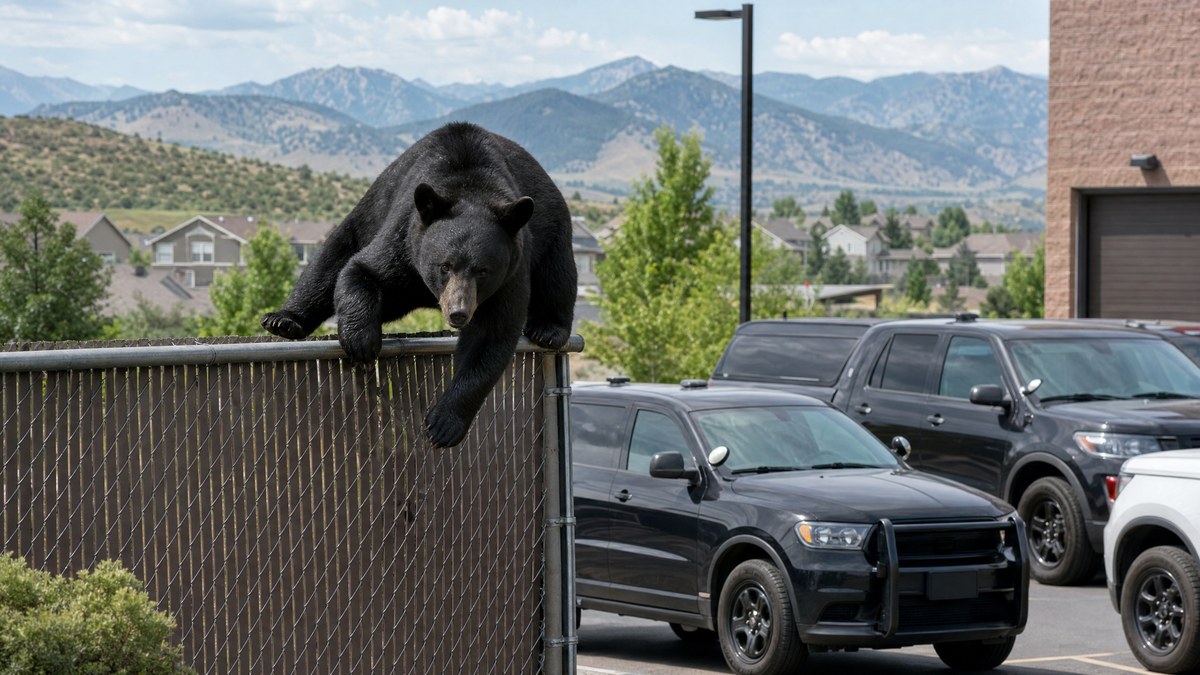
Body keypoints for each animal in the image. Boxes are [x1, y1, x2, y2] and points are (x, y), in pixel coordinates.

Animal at [261, 122, 577, 448]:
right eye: (445, 266)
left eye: (482, 270)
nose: (458, 312)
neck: (472, 189)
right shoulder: (404, 240)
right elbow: (363, 269)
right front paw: (361, 342)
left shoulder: (510, 273)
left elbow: (491, 336)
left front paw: (444, 424)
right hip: (369, 214)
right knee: (332, 257)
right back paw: (283, 320)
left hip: (552, 227)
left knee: (557, 275)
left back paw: (549, 329)